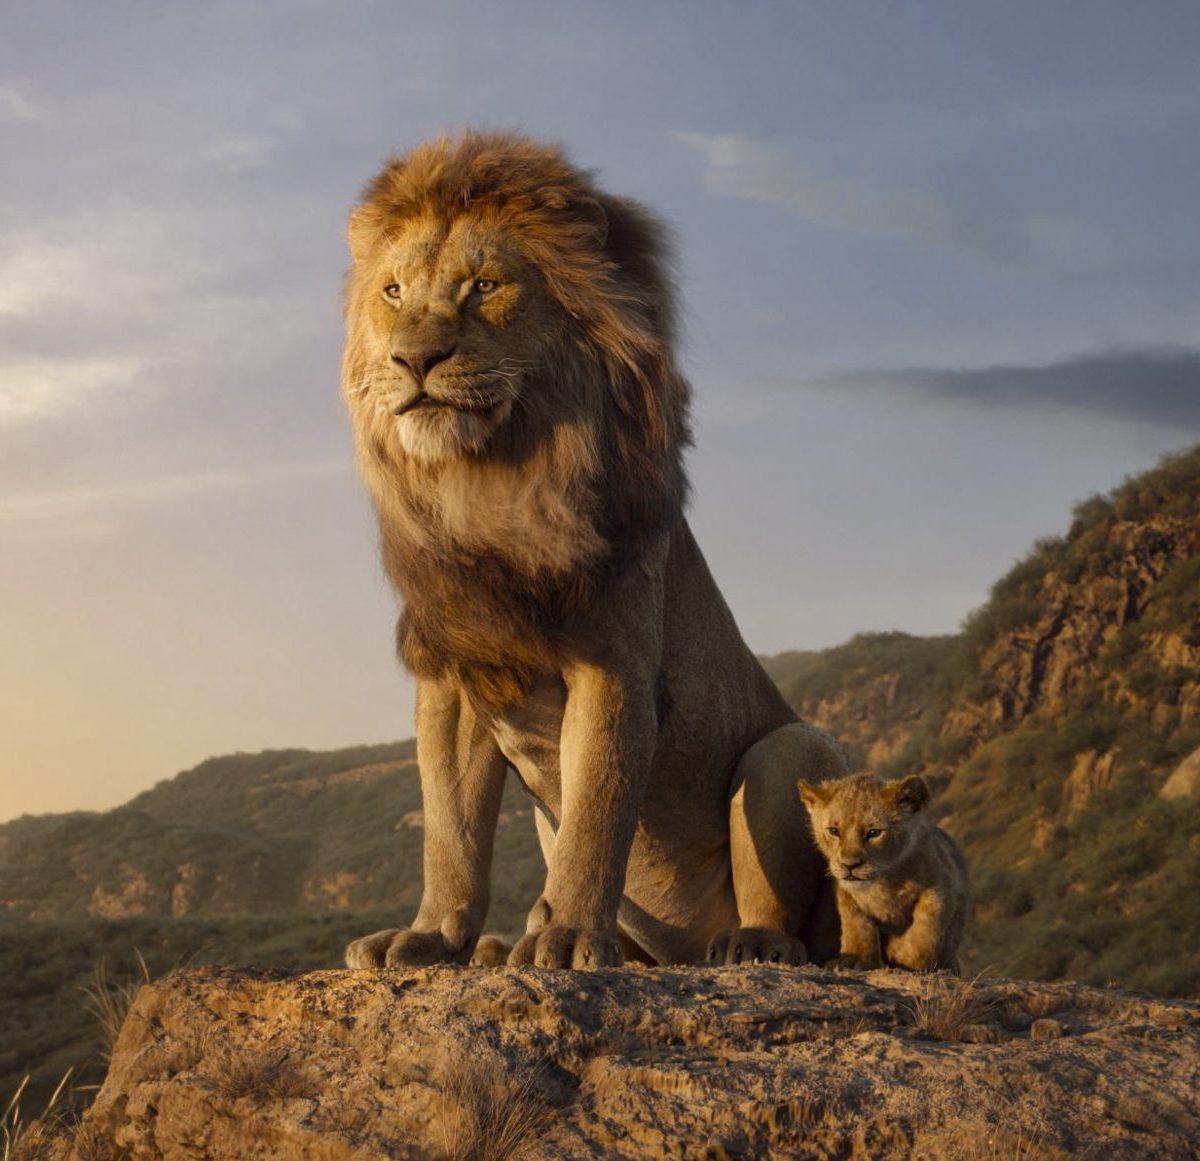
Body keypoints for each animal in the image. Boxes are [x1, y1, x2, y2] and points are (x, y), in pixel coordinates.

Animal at [339, 131, 848, 970]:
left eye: (485, 285)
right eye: (392, 292)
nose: (414, 359)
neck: (489, 486)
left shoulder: (613, 665)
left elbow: (596, 814)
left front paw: (569, 936)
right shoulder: (455, 676)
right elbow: (451, 831)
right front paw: (432, 935)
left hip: (789, 749)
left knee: (791, 916)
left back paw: (748, 943)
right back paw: (501, 946)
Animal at [797, 773, 971, 973]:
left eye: (874, 833)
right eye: (834, 831)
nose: (850, 865)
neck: (883, 880)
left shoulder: (941, 886)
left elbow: (926, 930)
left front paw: (903, 955)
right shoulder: (847, 895)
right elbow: (857, 926)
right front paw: (855, 960)